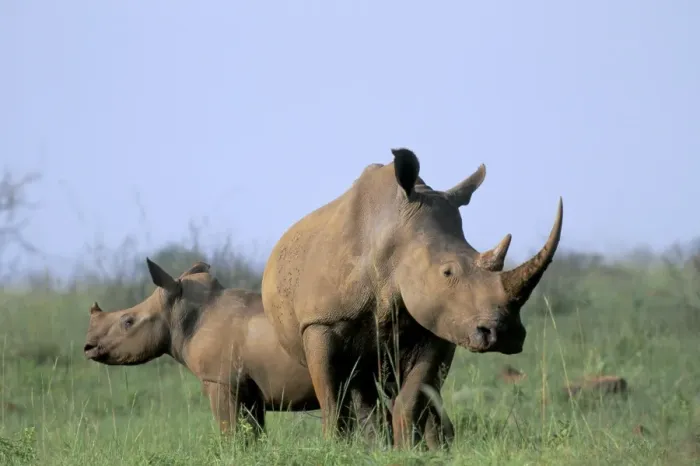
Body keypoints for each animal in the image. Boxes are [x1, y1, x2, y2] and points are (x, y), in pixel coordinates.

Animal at [84, 258, 334, 438]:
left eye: (128, 322)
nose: (88, 347)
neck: (179, 314)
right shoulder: (248, 388)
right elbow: (252, 434)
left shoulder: (221, 380)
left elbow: (232, 434)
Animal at [261, 148, 563, 449]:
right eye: (447, 272)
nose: (505, 334)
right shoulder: (321, 322)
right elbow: (332, 397)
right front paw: (336, 448)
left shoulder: (436, 323)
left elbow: (414, 394)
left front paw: (409, 450)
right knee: (358, 383)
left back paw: (427, 445)